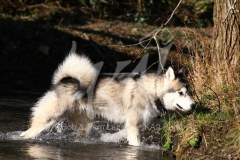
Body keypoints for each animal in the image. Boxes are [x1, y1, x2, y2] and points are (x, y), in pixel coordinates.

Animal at [20, 52, 195, 146]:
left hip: (85, 125)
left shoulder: (137, 124)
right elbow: (136, 144)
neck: (152, 92)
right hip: (47, 120)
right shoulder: (133, 125)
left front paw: (108, 138)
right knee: (26, 134)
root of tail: (62, 81)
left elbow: (120, 134)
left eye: (189, 92)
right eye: (181, 93)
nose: (194, 105)